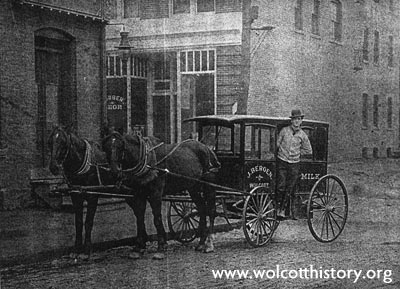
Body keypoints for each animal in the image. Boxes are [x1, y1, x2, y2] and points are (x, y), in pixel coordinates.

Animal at [47, 127, 115, 258]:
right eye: (49, 142)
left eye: (63, 142)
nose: (54, 167)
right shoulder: (75, 195)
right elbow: (78, 222)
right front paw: (77, 248)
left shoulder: (92, 195)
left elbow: (88, 222)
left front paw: (87, 249)